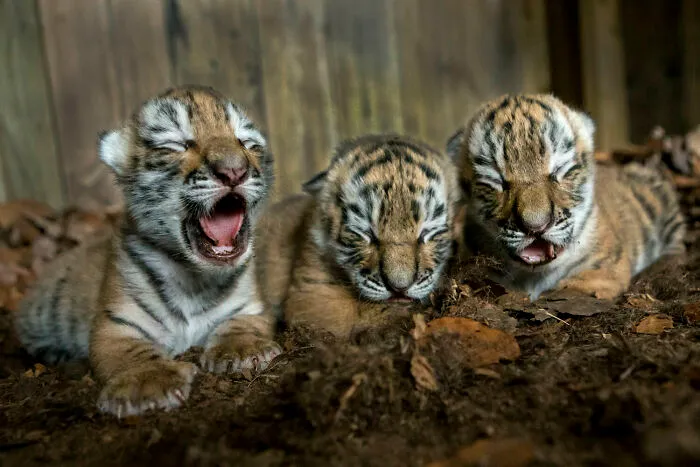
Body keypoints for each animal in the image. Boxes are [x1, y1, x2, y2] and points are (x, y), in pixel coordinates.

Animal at [14, 85, 281, 417]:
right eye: (176, 145)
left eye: (246, 142)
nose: (234, 171)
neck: (194, 278)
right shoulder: (116, 323)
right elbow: (131, 352)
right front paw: (149, 384)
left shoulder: (249, 307)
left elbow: (242, 325)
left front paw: (245, 350)